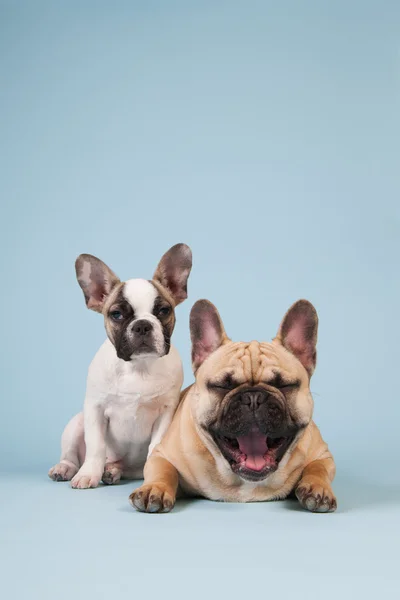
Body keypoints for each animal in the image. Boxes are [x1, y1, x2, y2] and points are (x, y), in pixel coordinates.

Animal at [48, 243, 192, 488]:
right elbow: (96, 446)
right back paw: (66, 468)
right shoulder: (95, 408)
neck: (138, 367)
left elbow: (156, 445)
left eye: (163, 311)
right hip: (76, 424)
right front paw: (88, 474)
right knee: (71, 454)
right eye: (116, 314)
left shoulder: (166, 412)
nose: (142, 325)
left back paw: (112, 471)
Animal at [130, 298, 338, 512]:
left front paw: (317, 487)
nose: (253, 398)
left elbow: (318, 468)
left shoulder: (322, 454)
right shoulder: (161, 455)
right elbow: (163, 470)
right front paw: (156, 488)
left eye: (285, 385)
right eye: (222, 385)